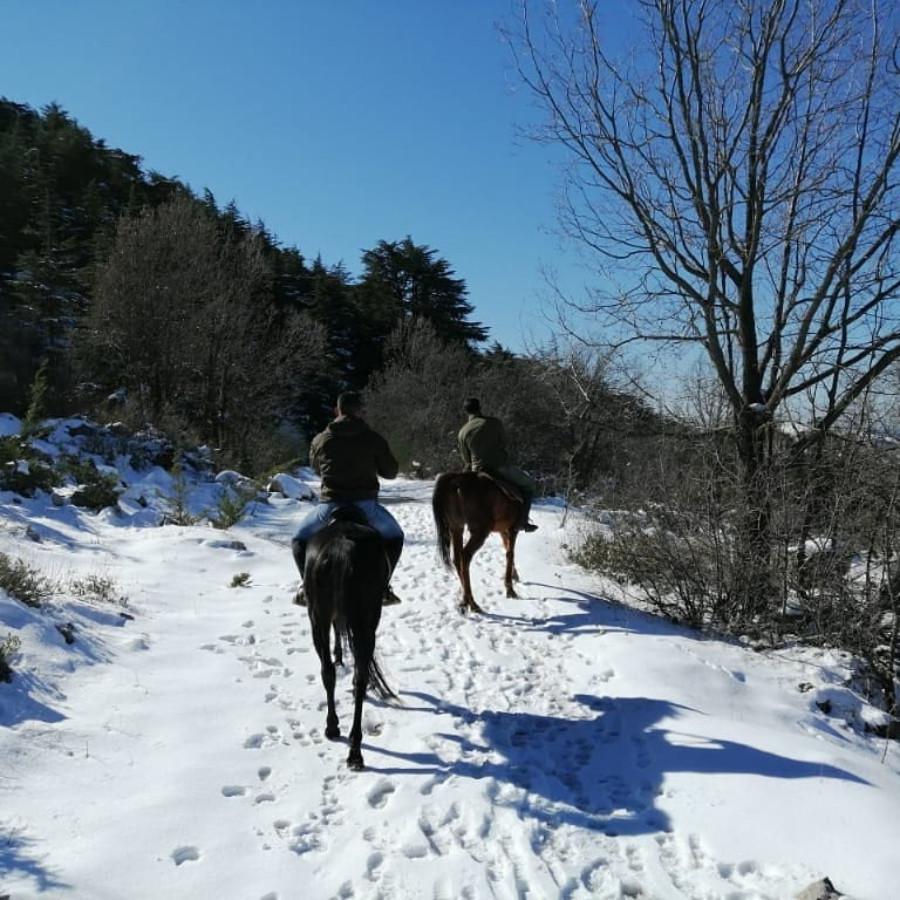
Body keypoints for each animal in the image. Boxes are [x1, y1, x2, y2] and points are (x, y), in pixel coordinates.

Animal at [306, 502, 394, 768]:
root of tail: (343, 549)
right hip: (364, 622)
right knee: (358, 677)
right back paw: (354, 749)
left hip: (318, 619)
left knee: (331, 673)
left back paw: (336, 731)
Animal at [432, 472, 524, 612]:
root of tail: (456, 480)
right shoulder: (512, 529)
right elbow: (510, 554)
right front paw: (510, 589)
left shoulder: (504, 530)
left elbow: (508, 550)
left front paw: (514, 576)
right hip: (480, 532)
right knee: (465, 556)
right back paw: (472, 602)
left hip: (457, 528)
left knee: (458, 559)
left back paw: (466, 600)